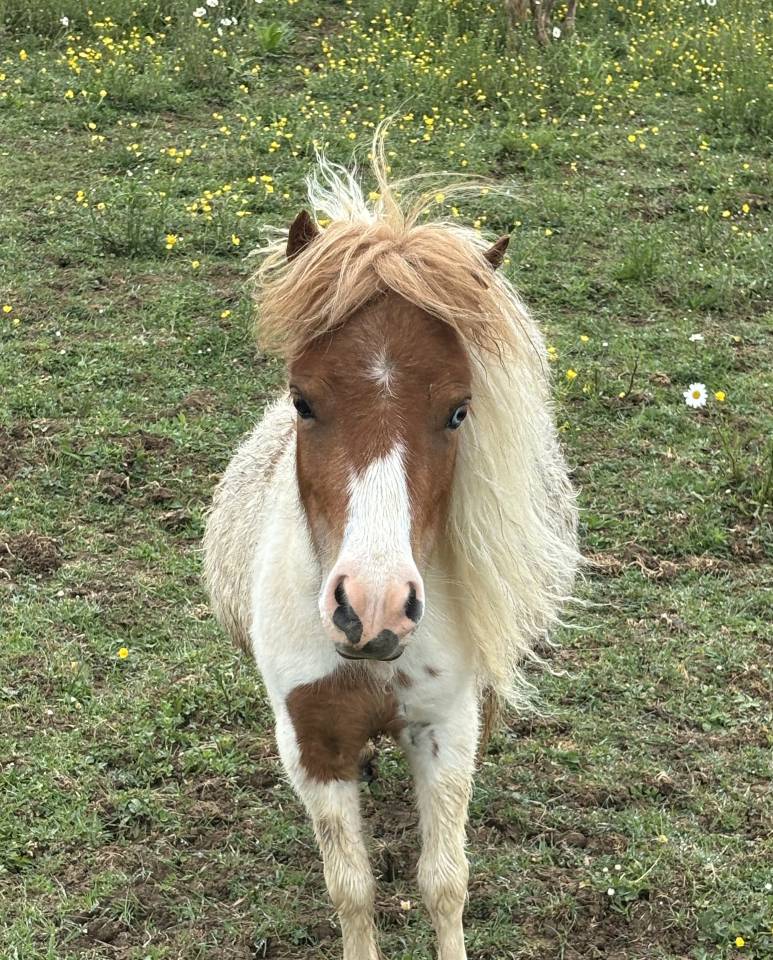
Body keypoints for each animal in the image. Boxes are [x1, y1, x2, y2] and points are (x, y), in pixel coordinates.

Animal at [203, 133, 579, 960]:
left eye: (459, 411)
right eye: (303, 400)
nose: (370, 609)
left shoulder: (445, 729)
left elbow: (443, 883)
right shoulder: (311, 742)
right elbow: (353, 890)